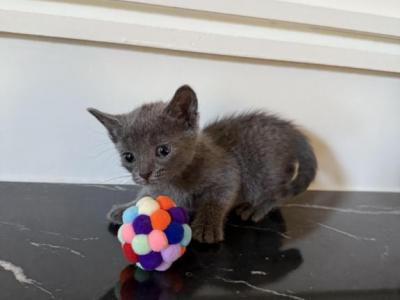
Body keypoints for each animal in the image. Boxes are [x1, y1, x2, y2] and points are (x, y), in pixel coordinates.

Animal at [87, 85, 316, 244]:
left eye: (163, 150)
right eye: (128, 157)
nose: (144, 174)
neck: (175, 181)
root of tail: (290, 131)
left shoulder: (228, 172)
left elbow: (216, 199)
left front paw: (207, 225)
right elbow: (146, 195)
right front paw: (126, 207)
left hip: (265, 173)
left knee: (278, 194)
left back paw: (255, 208)